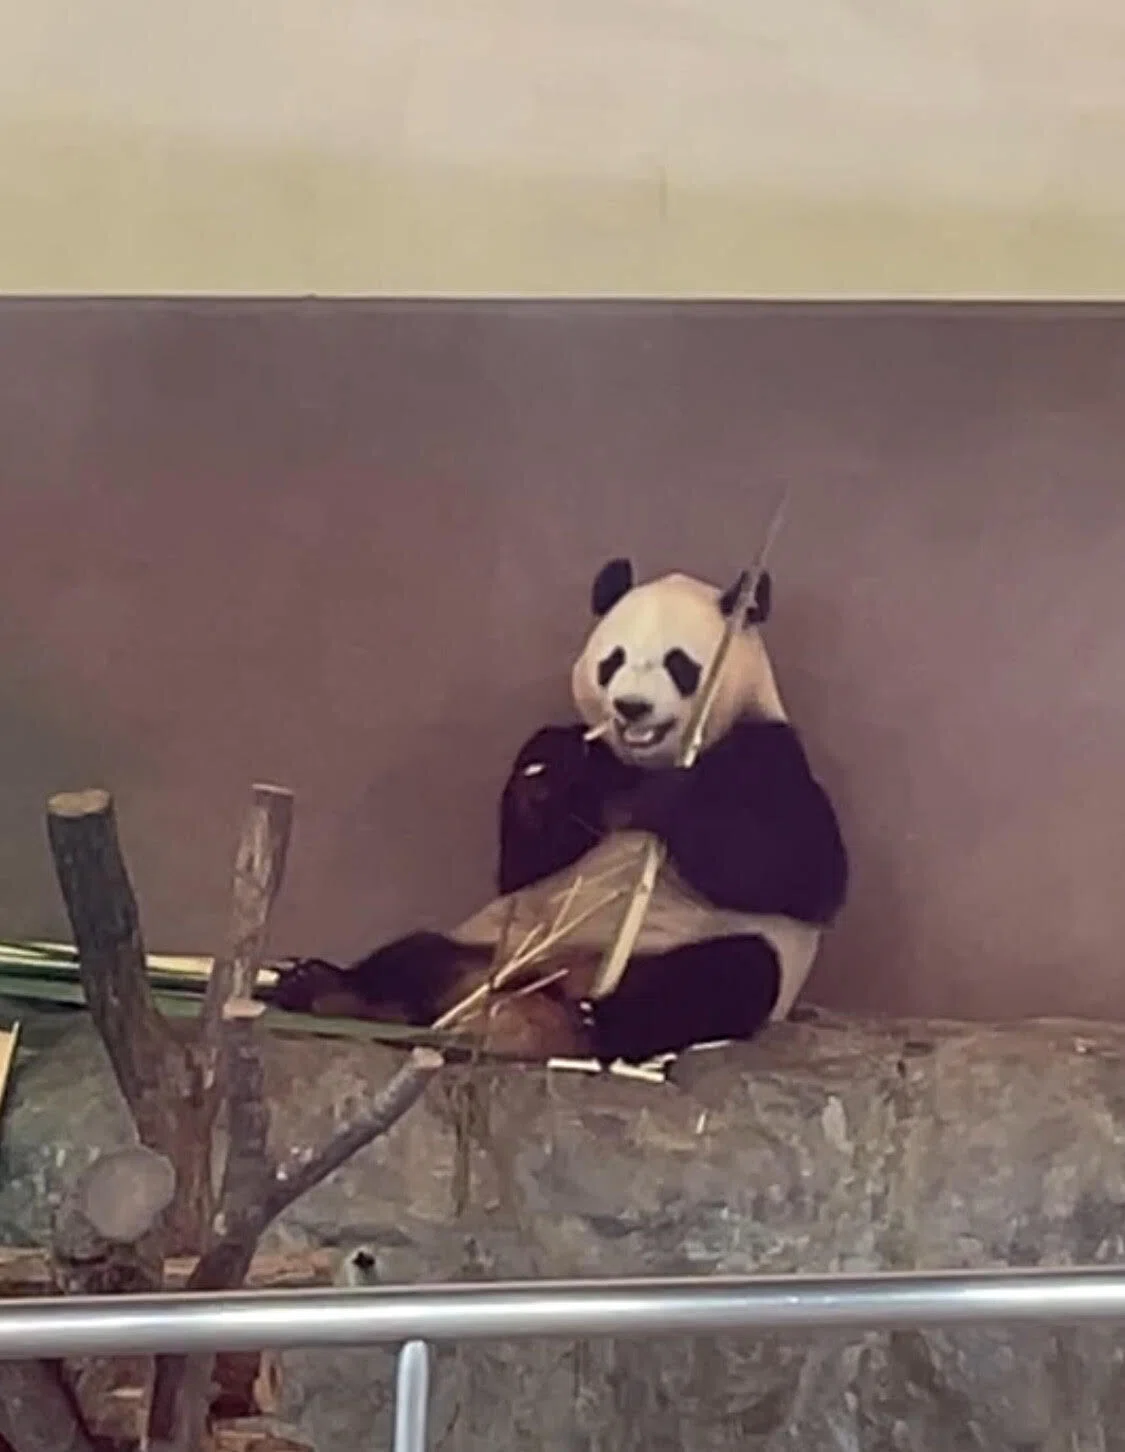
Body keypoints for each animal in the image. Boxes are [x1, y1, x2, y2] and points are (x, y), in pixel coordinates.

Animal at [268, 558, 849, 1065]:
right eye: (613, 660)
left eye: (678, 664)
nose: (631, 707)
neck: (639, 765)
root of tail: (540, 997)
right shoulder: (596, 768)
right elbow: (524, 863)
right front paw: (547, 770)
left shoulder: (767, 754)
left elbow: (803, 874)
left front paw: (671, 799)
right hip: (499, 946)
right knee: (416, 956)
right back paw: (330, 991)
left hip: (682, 954)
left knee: (723, 977)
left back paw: (592, 1022)